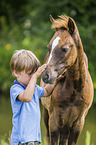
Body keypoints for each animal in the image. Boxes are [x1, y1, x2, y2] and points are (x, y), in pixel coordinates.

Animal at [40, 13, 94, 145]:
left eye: (65, 49)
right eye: (49, 47)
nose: (46, 76)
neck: (75, 88)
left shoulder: (78, 123)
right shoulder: (54, 121)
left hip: (66, 125)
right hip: (46, 114)